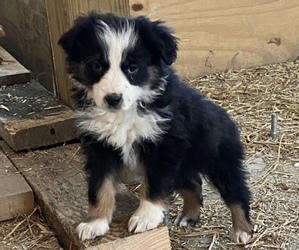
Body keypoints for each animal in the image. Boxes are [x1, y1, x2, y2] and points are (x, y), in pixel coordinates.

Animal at [58, 12, 253, 244]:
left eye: (132, 68)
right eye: (96, 66)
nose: (113, 99)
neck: (125, 112)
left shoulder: (162, 147)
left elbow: (154, 185)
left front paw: (144, 217)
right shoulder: (99, 147)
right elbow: (100, 188)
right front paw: (95, 222)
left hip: (219, 162)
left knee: (237, 193)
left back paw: (242, 230)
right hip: (182, 168)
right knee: (194, 184)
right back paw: (189, 215)